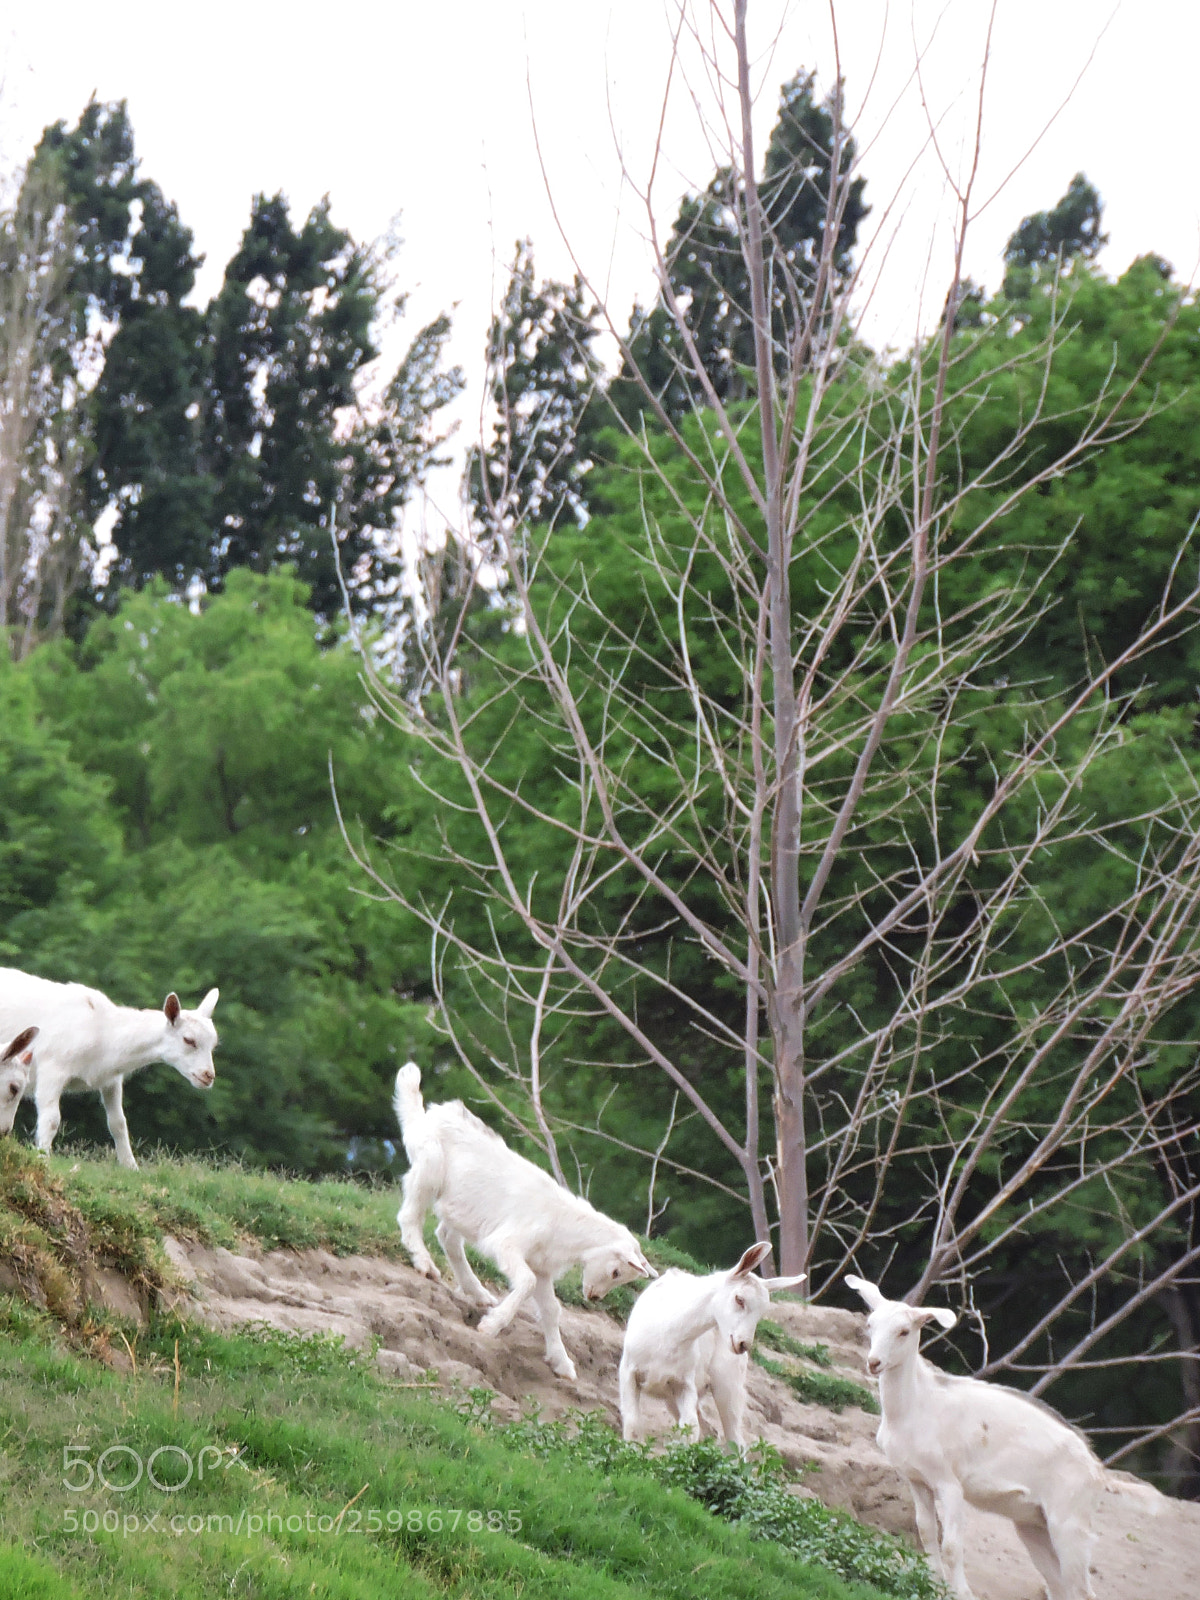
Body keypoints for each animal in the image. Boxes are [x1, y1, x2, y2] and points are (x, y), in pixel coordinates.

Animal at [0, 968, 219, 1170]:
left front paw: (131, 1167)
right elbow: (51, 1119)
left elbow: (118, 1122)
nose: (208, 1076)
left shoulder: (111, 1080)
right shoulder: (53, 1068)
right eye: (189, 1040)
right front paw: (43, 1158)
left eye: (213, 1043)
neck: (103, 1033)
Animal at [394, 1062, 655, 1379]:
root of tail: (425, 1116)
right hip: (429, 1168)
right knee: (410, 1216)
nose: (594, 1298)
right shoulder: (507, 1244)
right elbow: (526, 1283)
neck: (563, 1222)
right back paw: (425, 1265)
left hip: (461, 1208)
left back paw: (478, 1293)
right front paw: (491, 1326)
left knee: (448, 1237)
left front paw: (562, 1363)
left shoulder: (541, 1266)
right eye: (617, 1272)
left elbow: (552, 1309)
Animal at [619, 1242, 806, 1449]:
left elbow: (690, 1428)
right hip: (674, 1397)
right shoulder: (628, 1372)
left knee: (734, 1441)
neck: (667, 1334)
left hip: (728, 1384)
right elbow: (633, 1424)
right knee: (710, 1431)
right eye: (739, 1299)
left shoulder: (684, 1383)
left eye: (762, 1312)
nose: (742, 1344)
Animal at [846, 1274, 1111, 1600]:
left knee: (1083, 1590)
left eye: (904, 1331)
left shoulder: (949, 1483)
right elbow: (926, 1533)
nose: (874, 1363)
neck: (915, 1409)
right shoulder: (916, 1479)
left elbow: (951, 1546)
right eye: (870, 1324)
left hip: (1070, 1524)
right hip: (1033, 1524)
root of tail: (1097, 1470)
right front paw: (932, 1585)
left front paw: (961, 1592)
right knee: (1060, 1586)